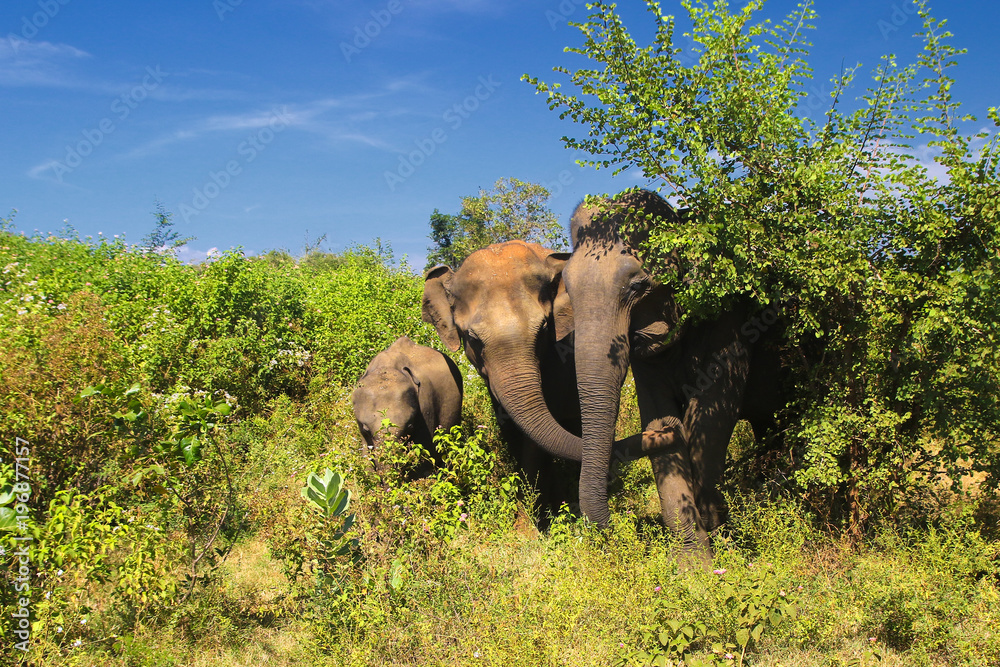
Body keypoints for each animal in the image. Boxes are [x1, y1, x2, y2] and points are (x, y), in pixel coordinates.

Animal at [560, 189, 783, 554]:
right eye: (566, 286)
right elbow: (657, 412)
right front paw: (696, 564)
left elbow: (712, 416)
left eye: (638, 286)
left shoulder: (733, 318)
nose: (612, 532)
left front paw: (712, 528)